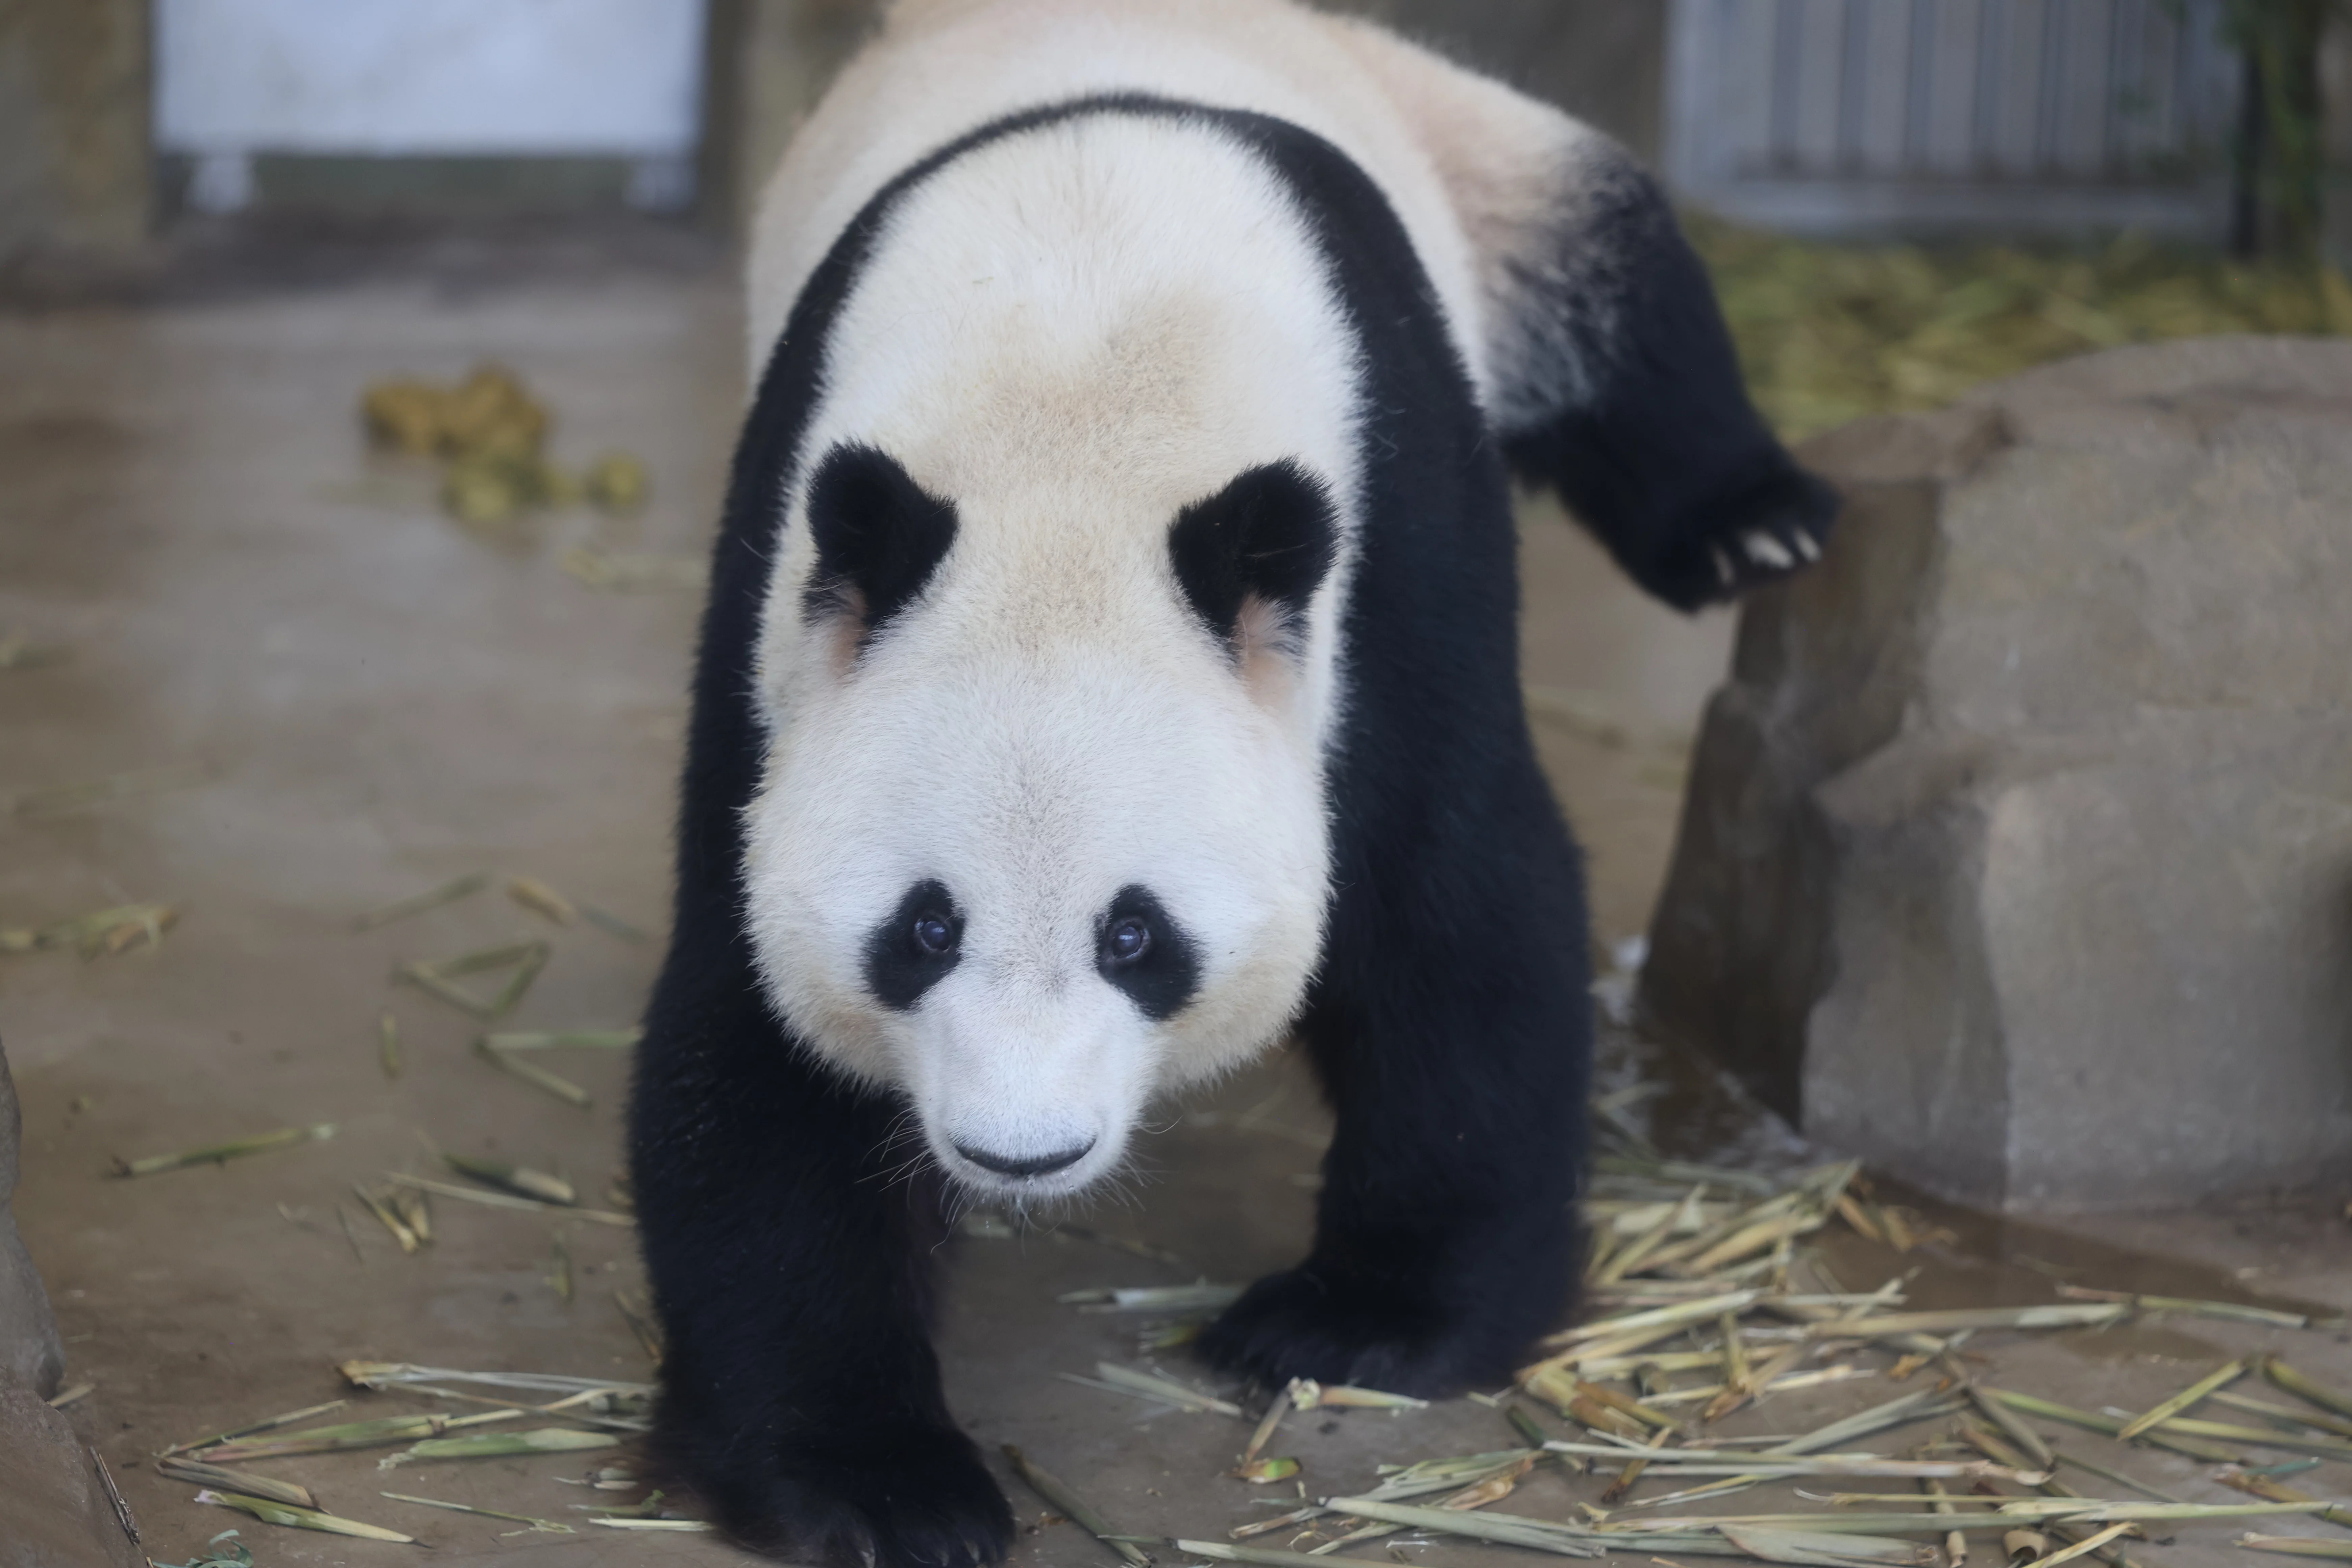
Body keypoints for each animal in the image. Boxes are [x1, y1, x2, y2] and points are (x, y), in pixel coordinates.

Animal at [627, 2, 1834, 1563]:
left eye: (1136, 934)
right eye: (924, 928)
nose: (1024, 1150)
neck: (1077, 419)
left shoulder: (1392, 554)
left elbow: (1453, 908)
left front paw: (1358, 1322)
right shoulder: (783, 609)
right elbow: (754, 1039)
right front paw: (879, 1480)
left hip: (1474, 157)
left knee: (1619, 289)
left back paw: (1752, 525)